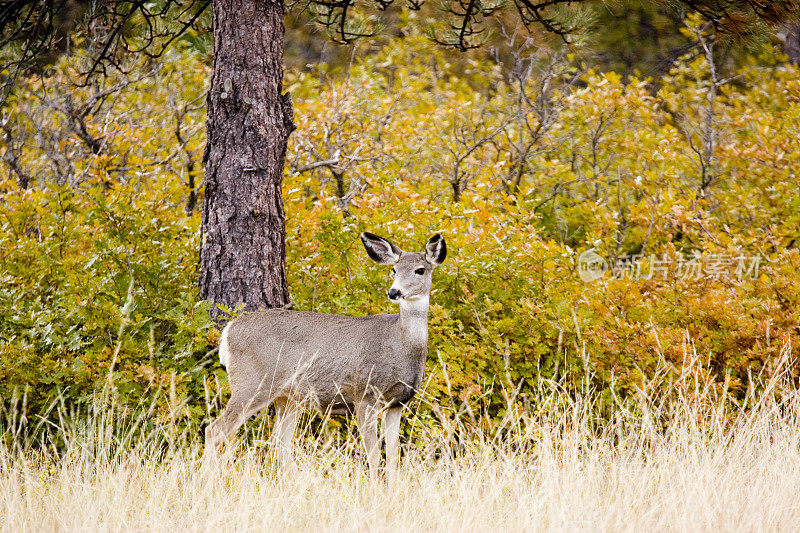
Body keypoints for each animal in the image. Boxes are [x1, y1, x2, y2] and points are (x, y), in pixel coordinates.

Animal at [203, 231, 446, 480]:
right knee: (214, 430)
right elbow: (374, 456)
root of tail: (228, 331)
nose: (394, 292)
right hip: (252, 383)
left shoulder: (397, 403)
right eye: (394, 270)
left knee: (279, 443)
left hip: (287, 397)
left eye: (420, 270)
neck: (400, 345)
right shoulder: (364, 395)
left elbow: (394, 457)